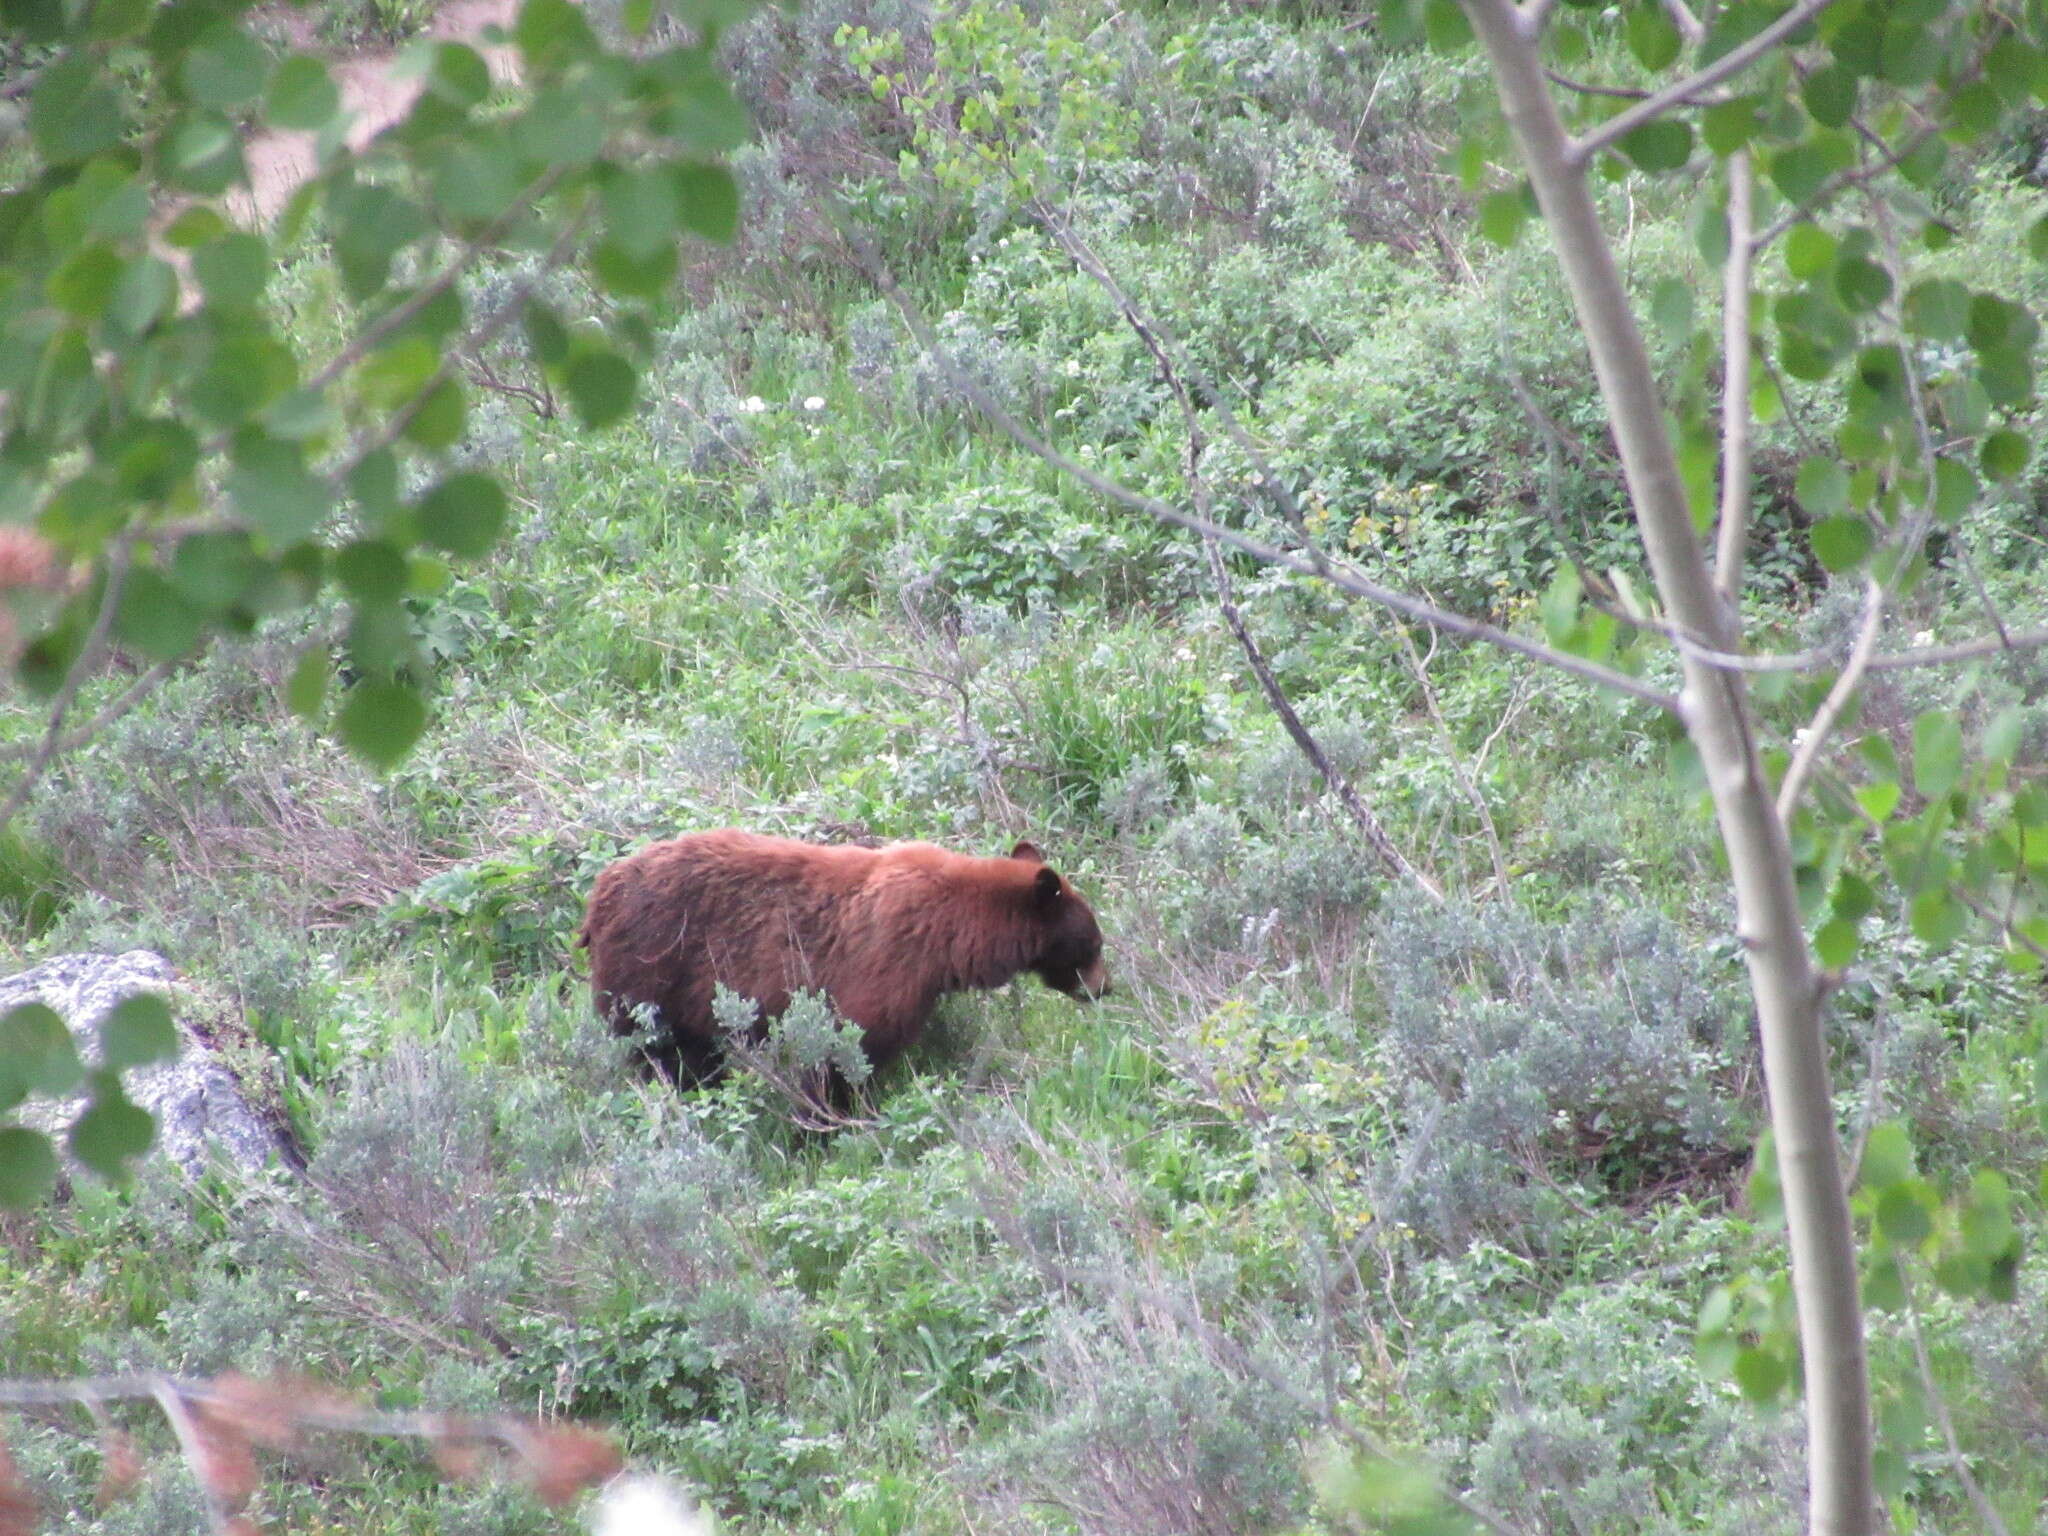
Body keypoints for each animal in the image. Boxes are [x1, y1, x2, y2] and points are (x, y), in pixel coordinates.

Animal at [569, 835, 1114, 1089]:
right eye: (1093, 944)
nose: (1104, 987)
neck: (950, 925)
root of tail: (598, 895)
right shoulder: (883, 965)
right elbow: (845, 1051)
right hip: (652, 972)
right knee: (662, 1053)